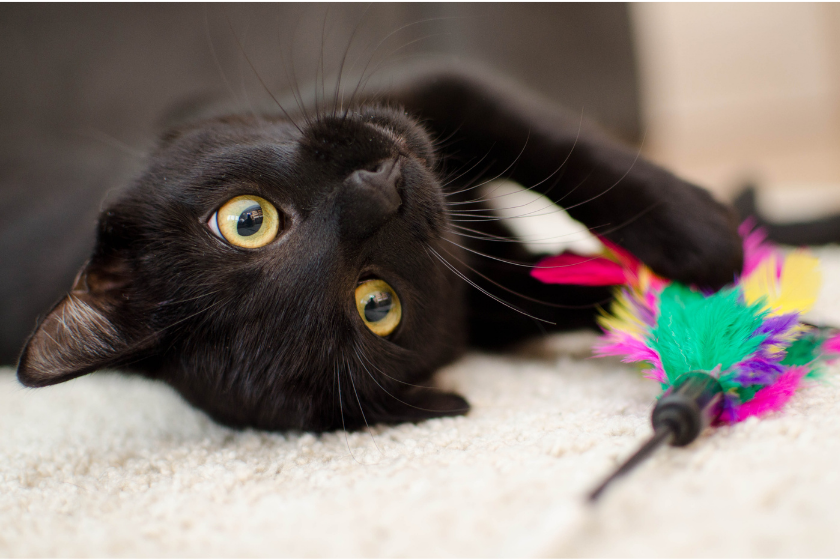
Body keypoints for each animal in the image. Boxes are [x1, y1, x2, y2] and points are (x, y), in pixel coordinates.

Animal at [13, 66, 740, 434]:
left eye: (247, 220)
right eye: (376, 305)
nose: (380, 193)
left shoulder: (438, 87)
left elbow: (555, 143)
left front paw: (704, 237)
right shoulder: (499, 306)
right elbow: (581, 292)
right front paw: (721, 307)